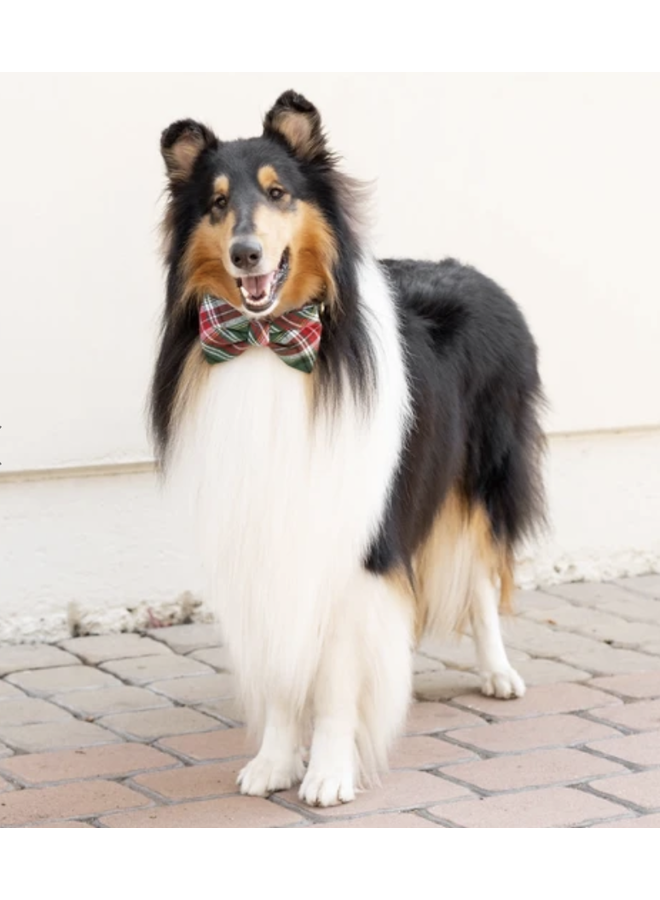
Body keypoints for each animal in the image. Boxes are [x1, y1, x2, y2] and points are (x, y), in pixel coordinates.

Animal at [152, 91, 544, 808]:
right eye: (216, 203)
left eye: (278, 192)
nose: (247, 255)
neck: (269, 347)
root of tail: (471, 269)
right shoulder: (264, 543)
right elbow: (283, 667)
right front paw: (275, 761)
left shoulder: (351, 546)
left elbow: (337, 681)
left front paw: (329, 774)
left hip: (478, 482)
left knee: (479, 578)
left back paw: (498, 672)